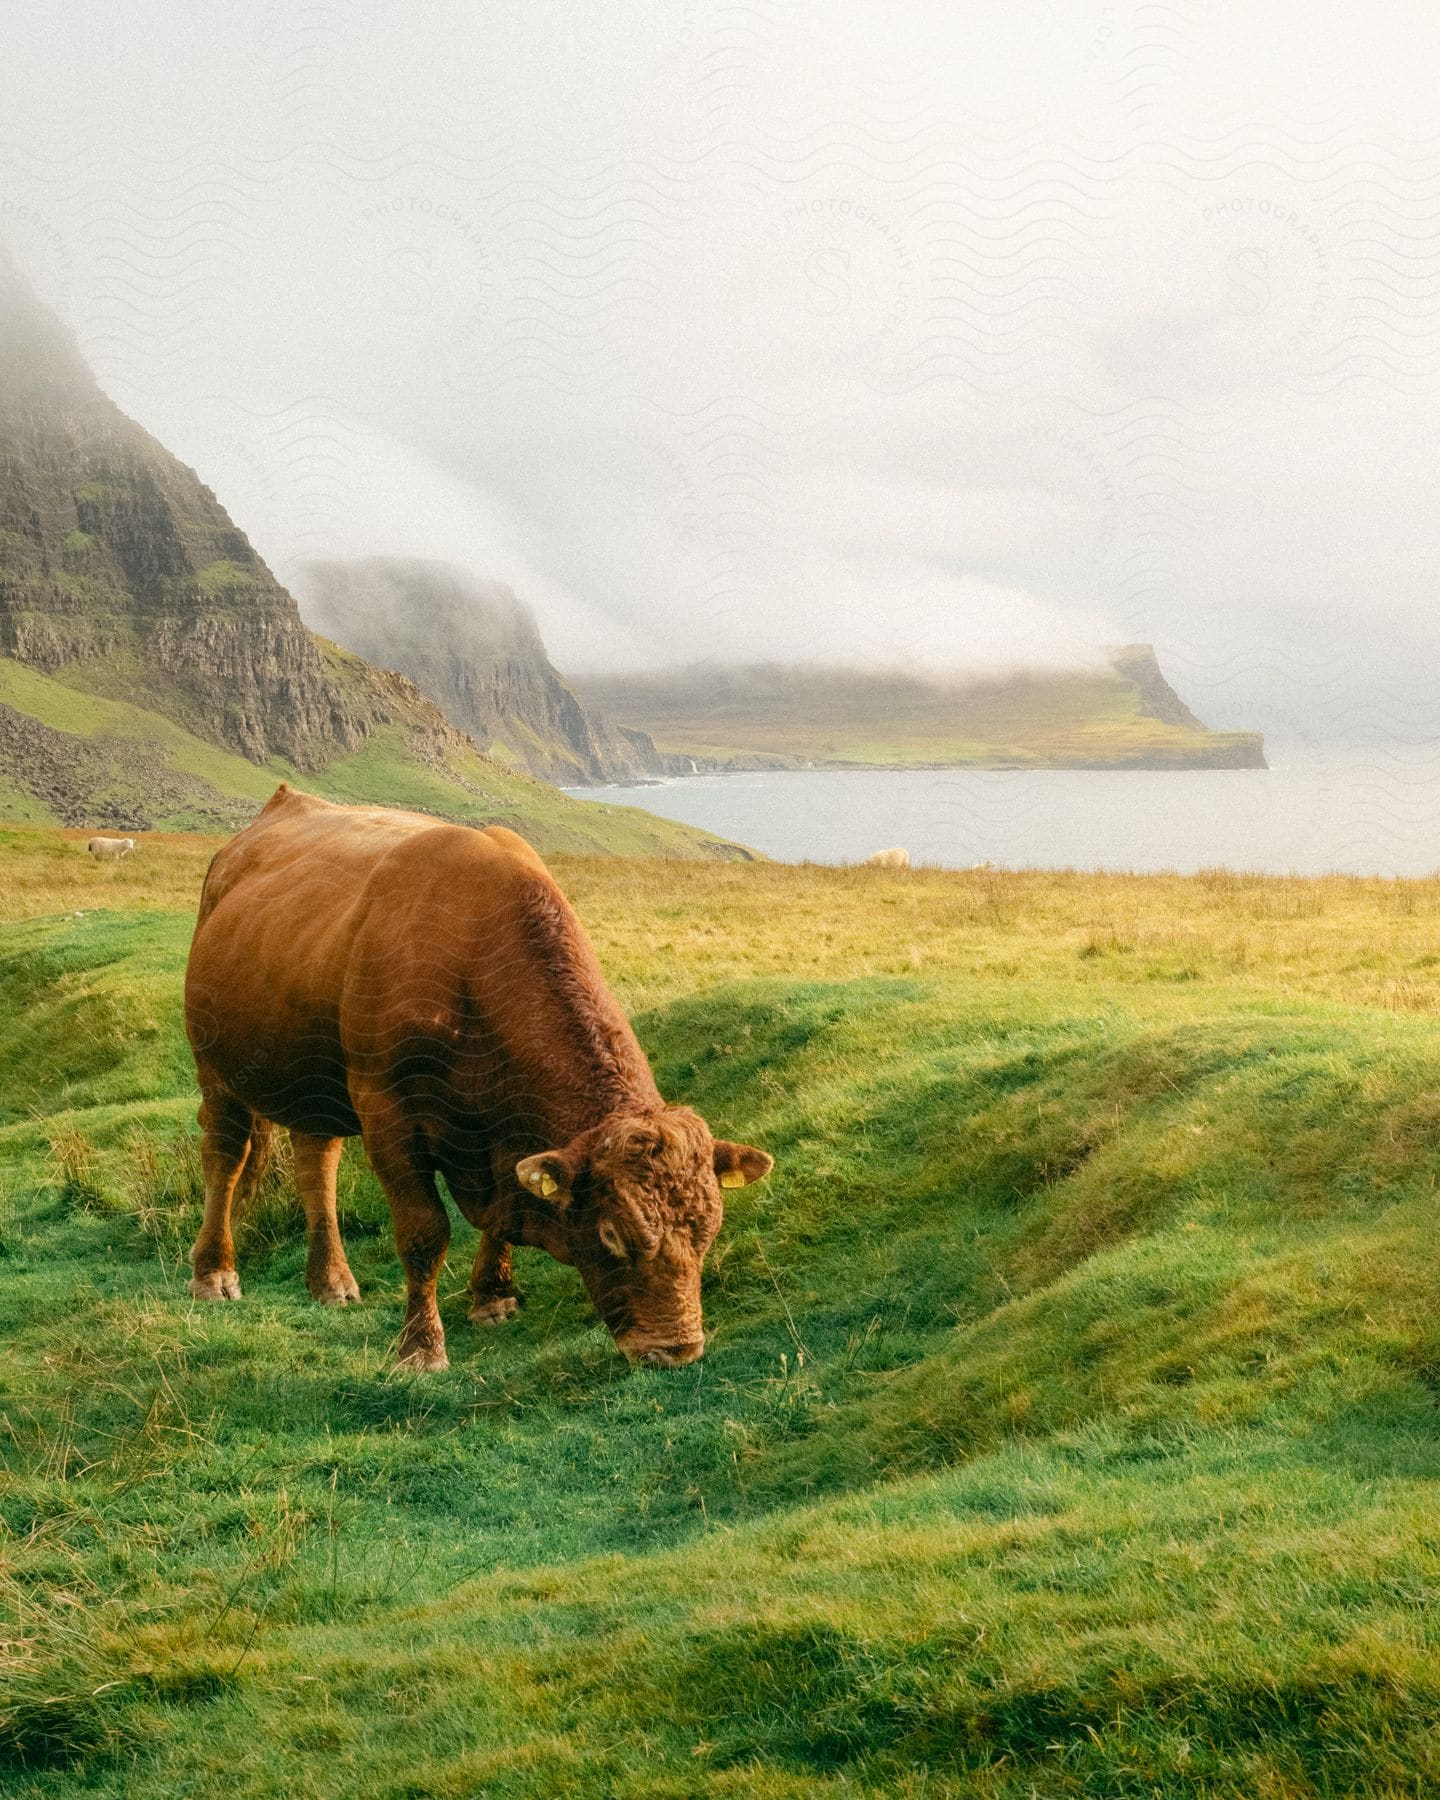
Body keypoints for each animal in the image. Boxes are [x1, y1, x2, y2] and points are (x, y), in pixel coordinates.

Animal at [184, 784, 770, 1360]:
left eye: (708, 1232)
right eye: (611, 1235)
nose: (678, 1348)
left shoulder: (507, 1142)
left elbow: (501, 1222)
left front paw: (493, 1296)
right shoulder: (387, 1114)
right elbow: (424, 1233)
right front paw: (421, 1346)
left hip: (315, 1082)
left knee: (316, 1163)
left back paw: (331, 1281)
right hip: (215, 1067)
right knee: (225, 1157)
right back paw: (214, 1272)